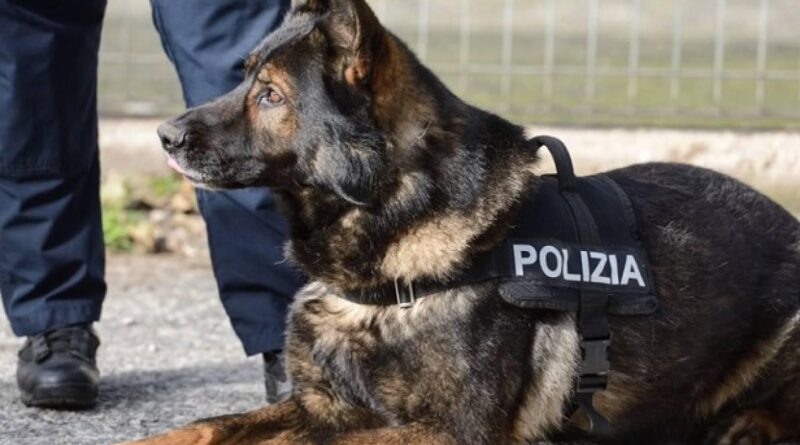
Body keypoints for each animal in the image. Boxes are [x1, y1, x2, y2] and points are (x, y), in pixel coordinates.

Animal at [136, 0, 800, 443]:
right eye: (244, 77)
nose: (165, 136)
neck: (394, 231)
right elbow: (204, 425)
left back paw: (747, 424)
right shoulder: (322, 406)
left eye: (270, 96)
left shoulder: (450, 429)